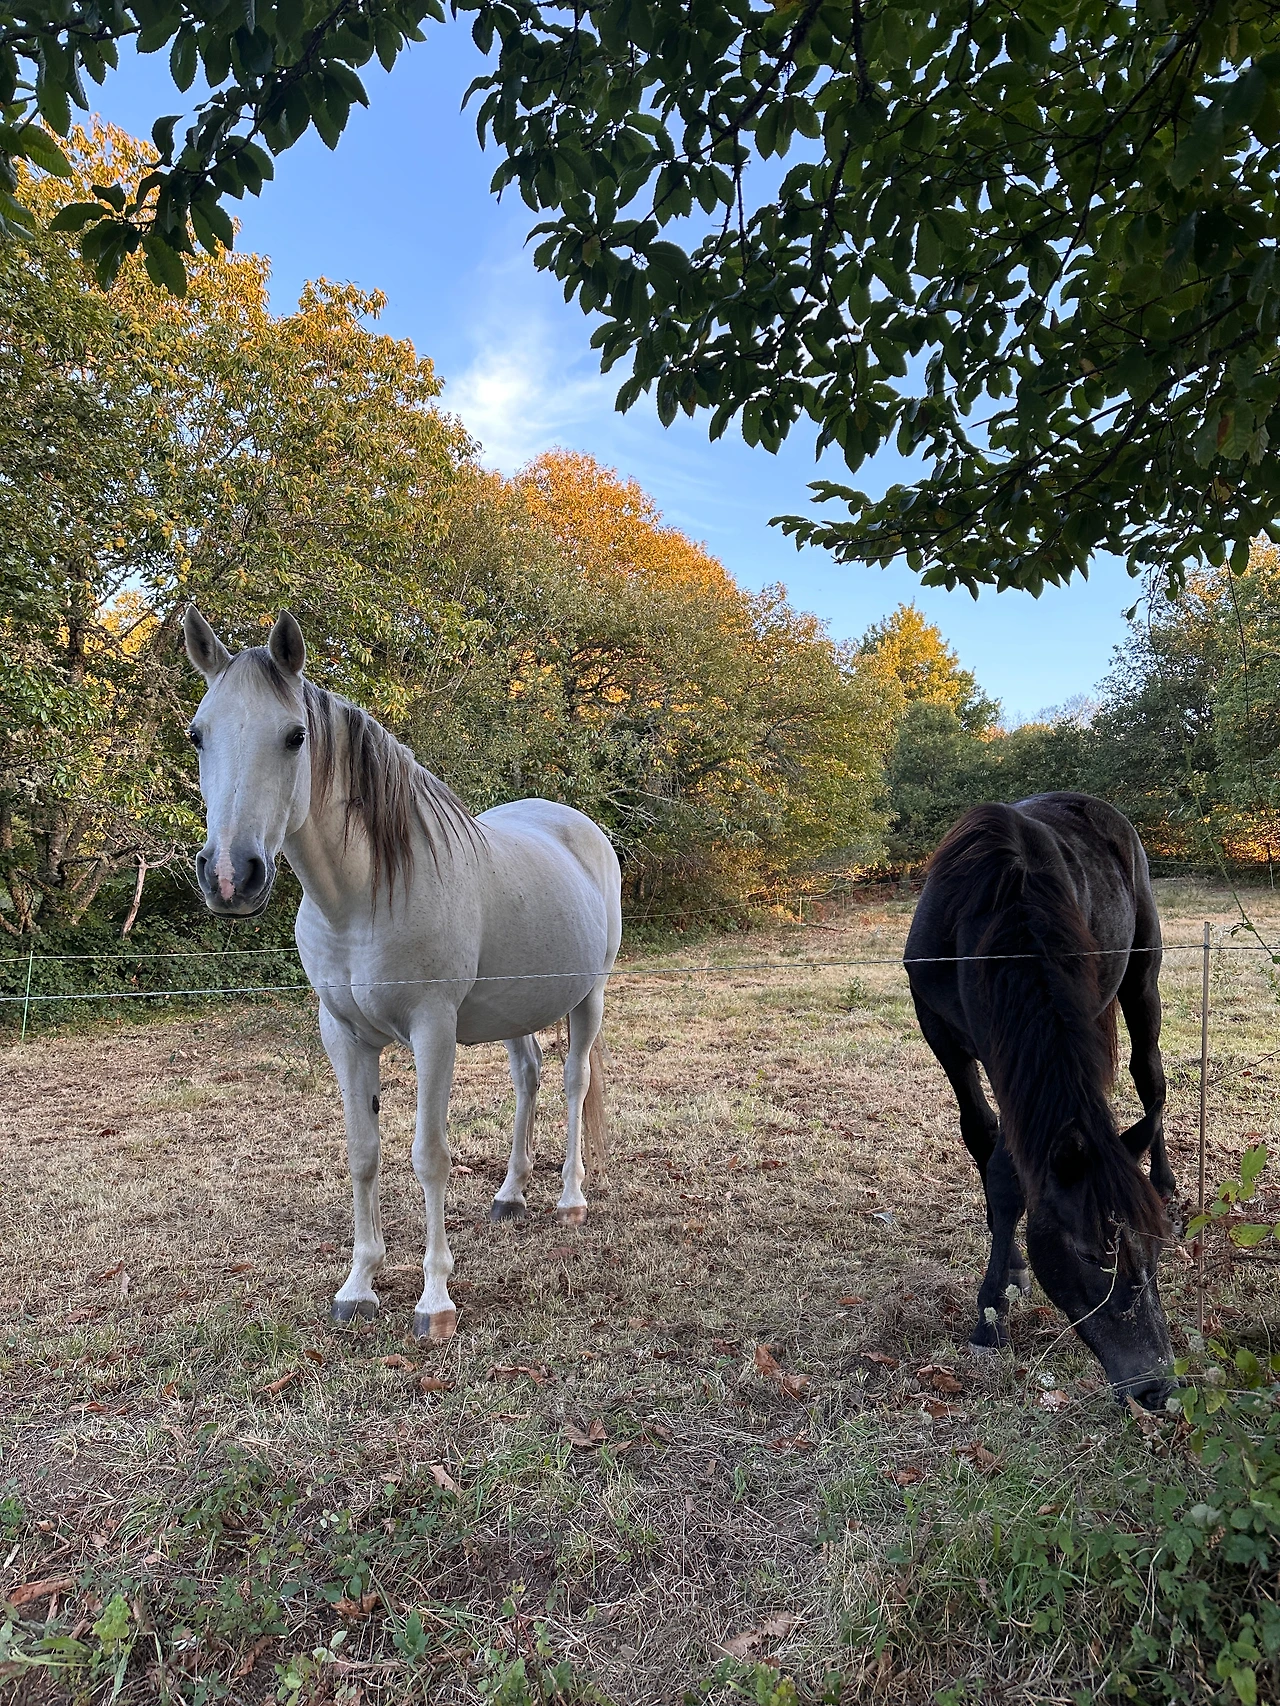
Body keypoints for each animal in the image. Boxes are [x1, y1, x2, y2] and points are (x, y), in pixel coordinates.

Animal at [182, 606, 622, 1341]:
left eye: (295, 736)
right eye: (197, 734)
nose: (229, 876)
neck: (362, 899)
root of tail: (577, 825)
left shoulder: (431, 1032)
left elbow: (429, 1155)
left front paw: (434, 1301)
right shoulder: (343, 1035)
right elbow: (364, 1153)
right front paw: (359, 1286)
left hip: (589, 998)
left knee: (571, 1082)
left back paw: (569, 1199)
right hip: (516, 1011)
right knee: (528, 1078)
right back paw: (510, 1195)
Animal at [904, 793, 1175, 1409]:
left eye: (1154, 1252)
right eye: (1093, 1254)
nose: (1158, 1386)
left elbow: (1009, 1167)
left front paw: (993, 1304)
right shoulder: (945, 1036)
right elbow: (983, 1142)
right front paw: (1005, 1285)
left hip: (1140, 977)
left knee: (1149, 1078)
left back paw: (1165, 1180)